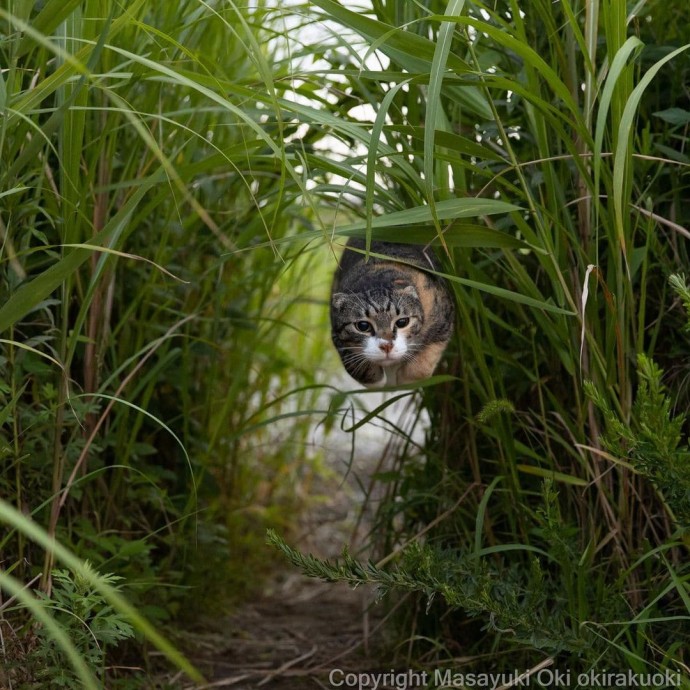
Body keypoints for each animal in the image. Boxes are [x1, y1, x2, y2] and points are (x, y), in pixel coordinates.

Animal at [330, 238, 454, 388]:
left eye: (402, 322)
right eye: (363, 326)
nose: (386, 346)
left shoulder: (443, 316)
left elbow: (423, 363)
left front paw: (406, 380)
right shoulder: (336, 331)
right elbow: (354, 362)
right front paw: (377, 381)